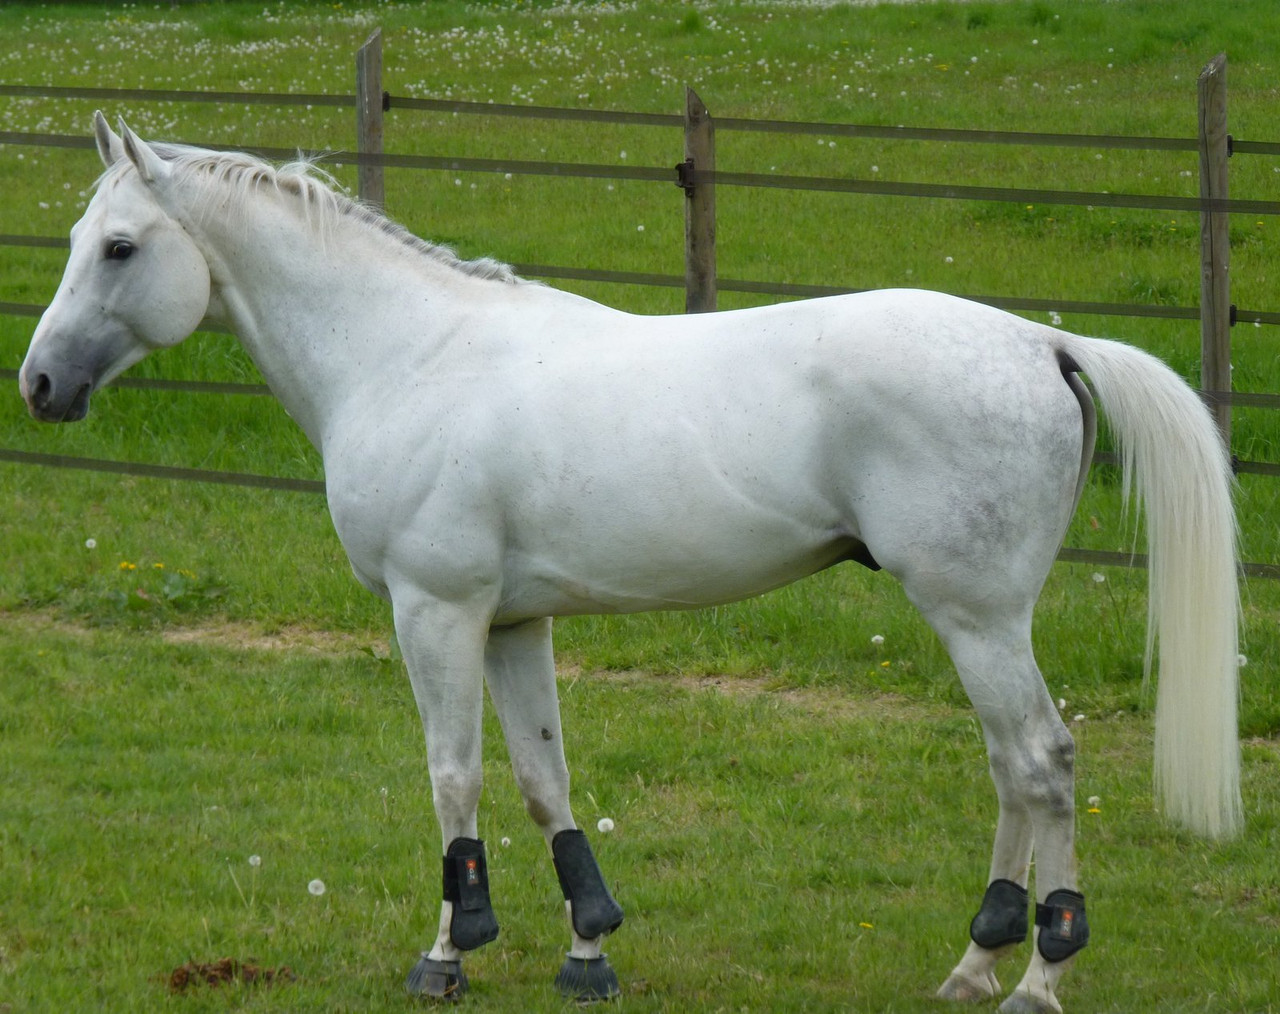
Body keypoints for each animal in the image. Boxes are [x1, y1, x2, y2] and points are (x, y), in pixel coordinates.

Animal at [19, 115, 1240, 1013]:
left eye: (119, 246)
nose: (38, 383)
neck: (409, 354)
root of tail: (1041, 341)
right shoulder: (513, 623)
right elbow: (541, 780)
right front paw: (588, 949)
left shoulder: (437, 612)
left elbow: (452, 775)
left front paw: (447, 954)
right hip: (977, 621)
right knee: (1009, 767)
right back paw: (975, 961)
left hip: (974, 616)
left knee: (1040, 761)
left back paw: (1037, 976)